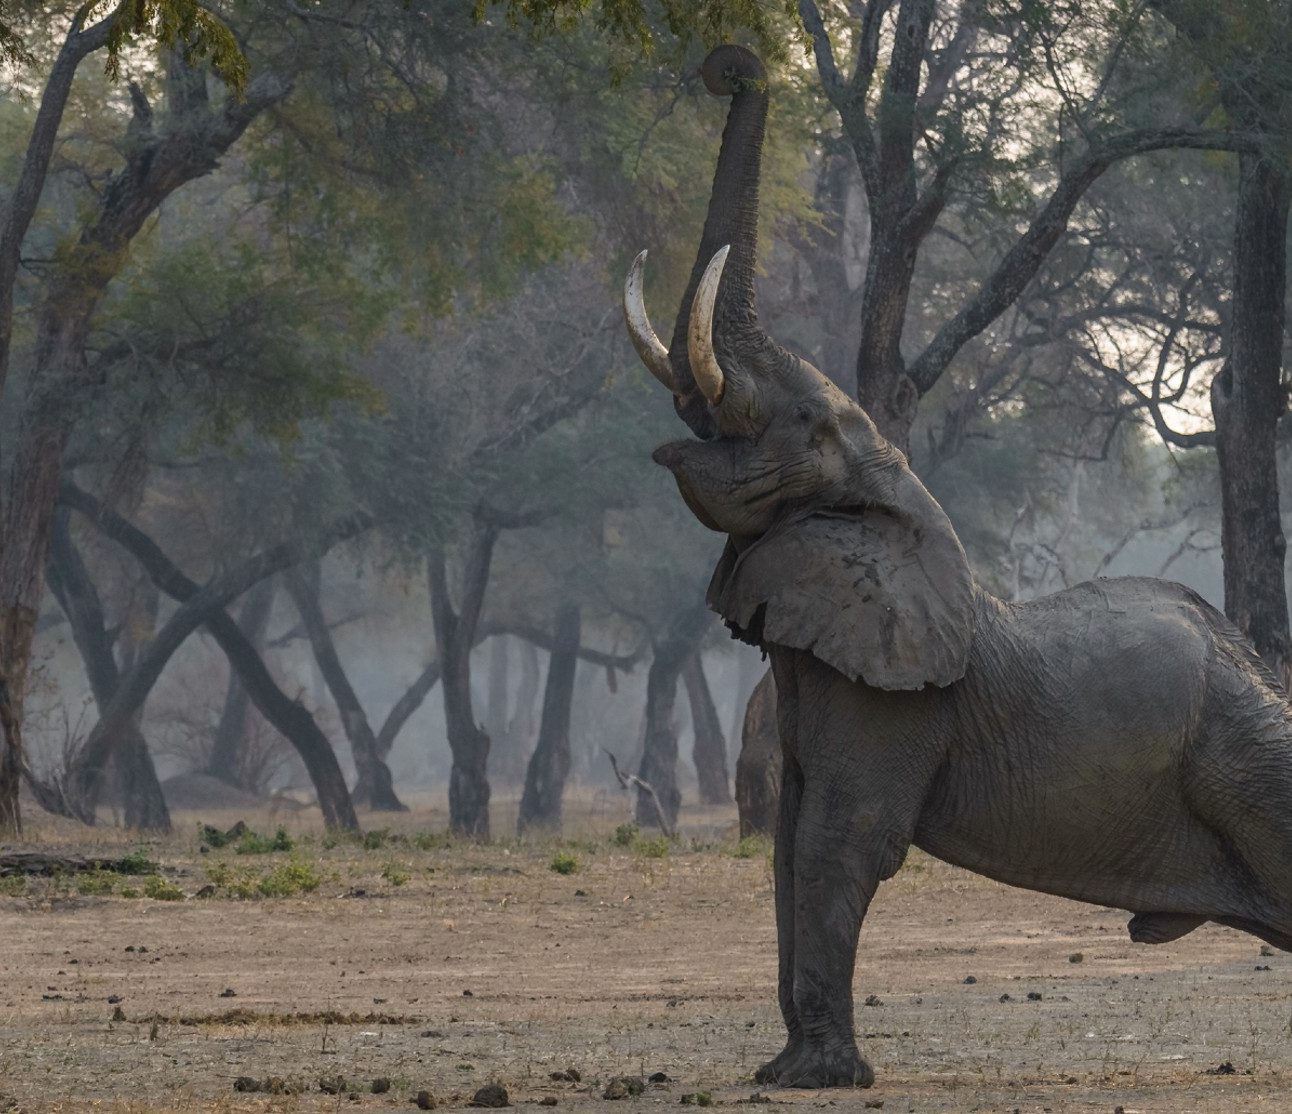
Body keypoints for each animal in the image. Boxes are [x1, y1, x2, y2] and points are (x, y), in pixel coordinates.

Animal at [620, 43, 1292, 1090]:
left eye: (805, 422)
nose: (727, 64)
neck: (896, 494)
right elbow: (791, 843)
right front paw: (786, 1072)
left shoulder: (894, 699)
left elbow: (841, 840)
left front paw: (820, 1080)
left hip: (1249, 756)